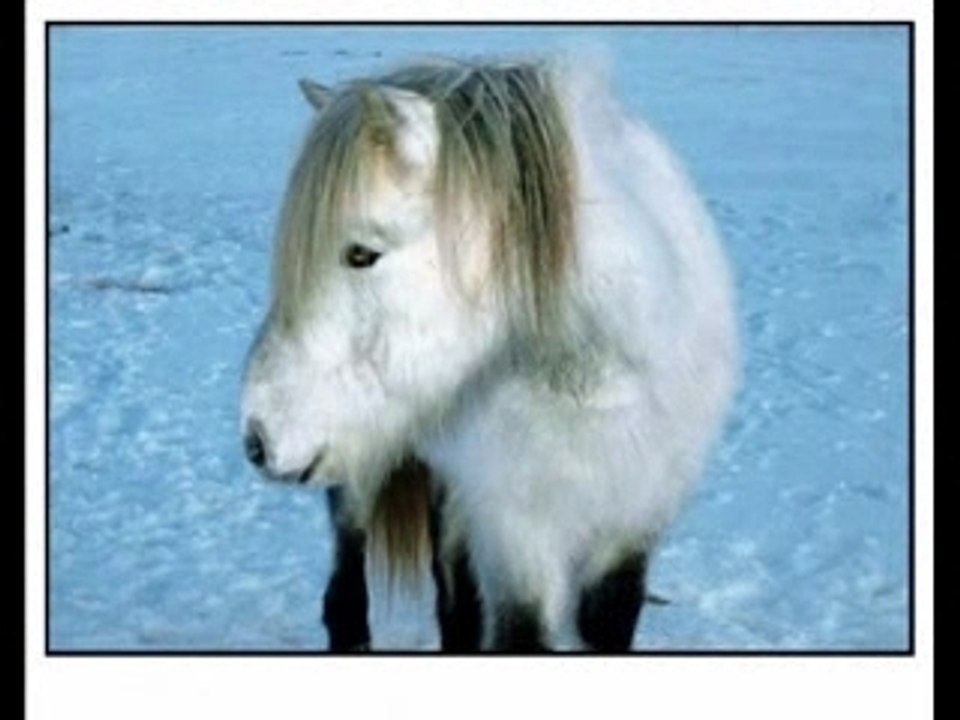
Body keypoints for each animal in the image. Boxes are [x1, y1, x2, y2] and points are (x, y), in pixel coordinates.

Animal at [241, 56, 739, 651]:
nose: (257, 438)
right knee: (349, 575)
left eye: (361, 253)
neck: (592, 376)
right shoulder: (518, 534)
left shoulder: (636, 519)